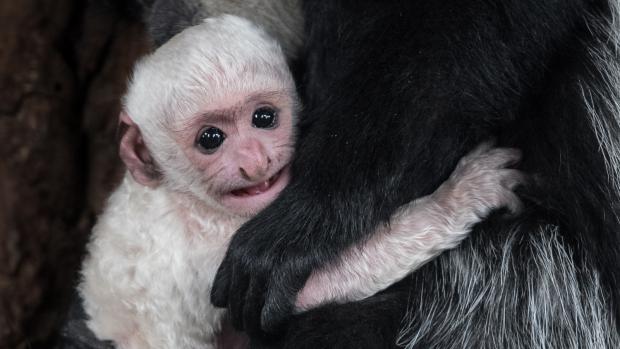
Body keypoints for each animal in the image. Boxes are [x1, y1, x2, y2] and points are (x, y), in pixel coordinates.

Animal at [77, 14, 524, 348]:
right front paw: (466, 193)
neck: (183, 194)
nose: (254, 161)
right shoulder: (212, 244)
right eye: (211, 139)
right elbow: (303, 289)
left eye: (263, 118)